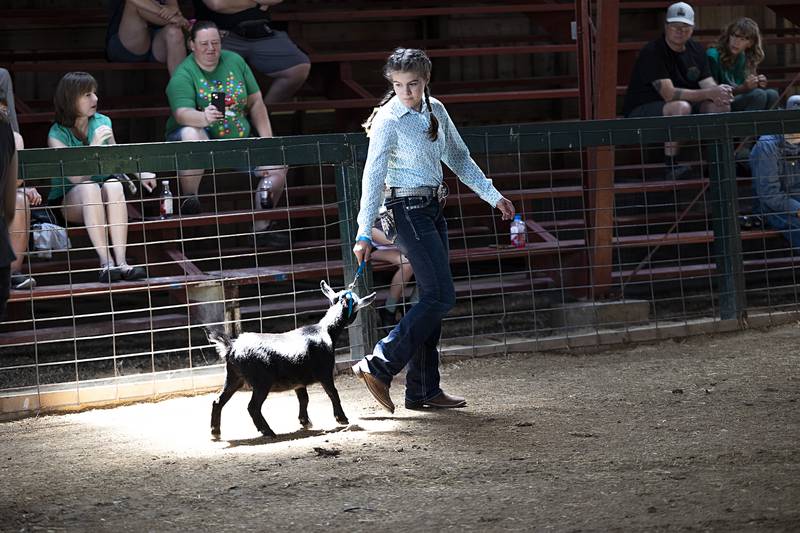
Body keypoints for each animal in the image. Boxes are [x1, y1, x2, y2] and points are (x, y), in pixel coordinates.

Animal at [206, 278, 376, 436]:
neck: (325, 330)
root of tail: (231, 347)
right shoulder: (325, 372)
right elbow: (333, 393)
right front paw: (342, 419)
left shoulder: (298, 380)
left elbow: (304, 398)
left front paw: (305, 421)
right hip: (262, 381)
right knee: (252, 407)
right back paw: (267, 431)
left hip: (234, 377)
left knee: (217, 401)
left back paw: (215, 431)